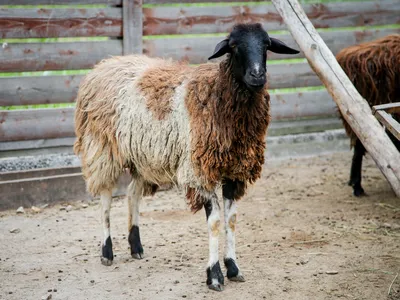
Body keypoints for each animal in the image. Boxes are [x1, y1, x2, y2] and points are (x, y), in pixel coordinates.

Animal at [74, 23, 300, 290]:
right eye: (234, 46)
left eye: (266, 45)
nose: (257, 76)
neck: (218, 97)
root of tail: (105, 64)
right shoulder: (200, 172)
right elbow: (215, 222)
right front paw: (215, 275)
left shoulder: (234, 170)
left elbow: (231, 220)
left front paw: (233, 268)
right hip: (102, 148)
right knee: (106, 199)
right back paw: (107, 252)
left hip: (144, 156)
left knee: (132, 194)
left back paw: (136, 246)